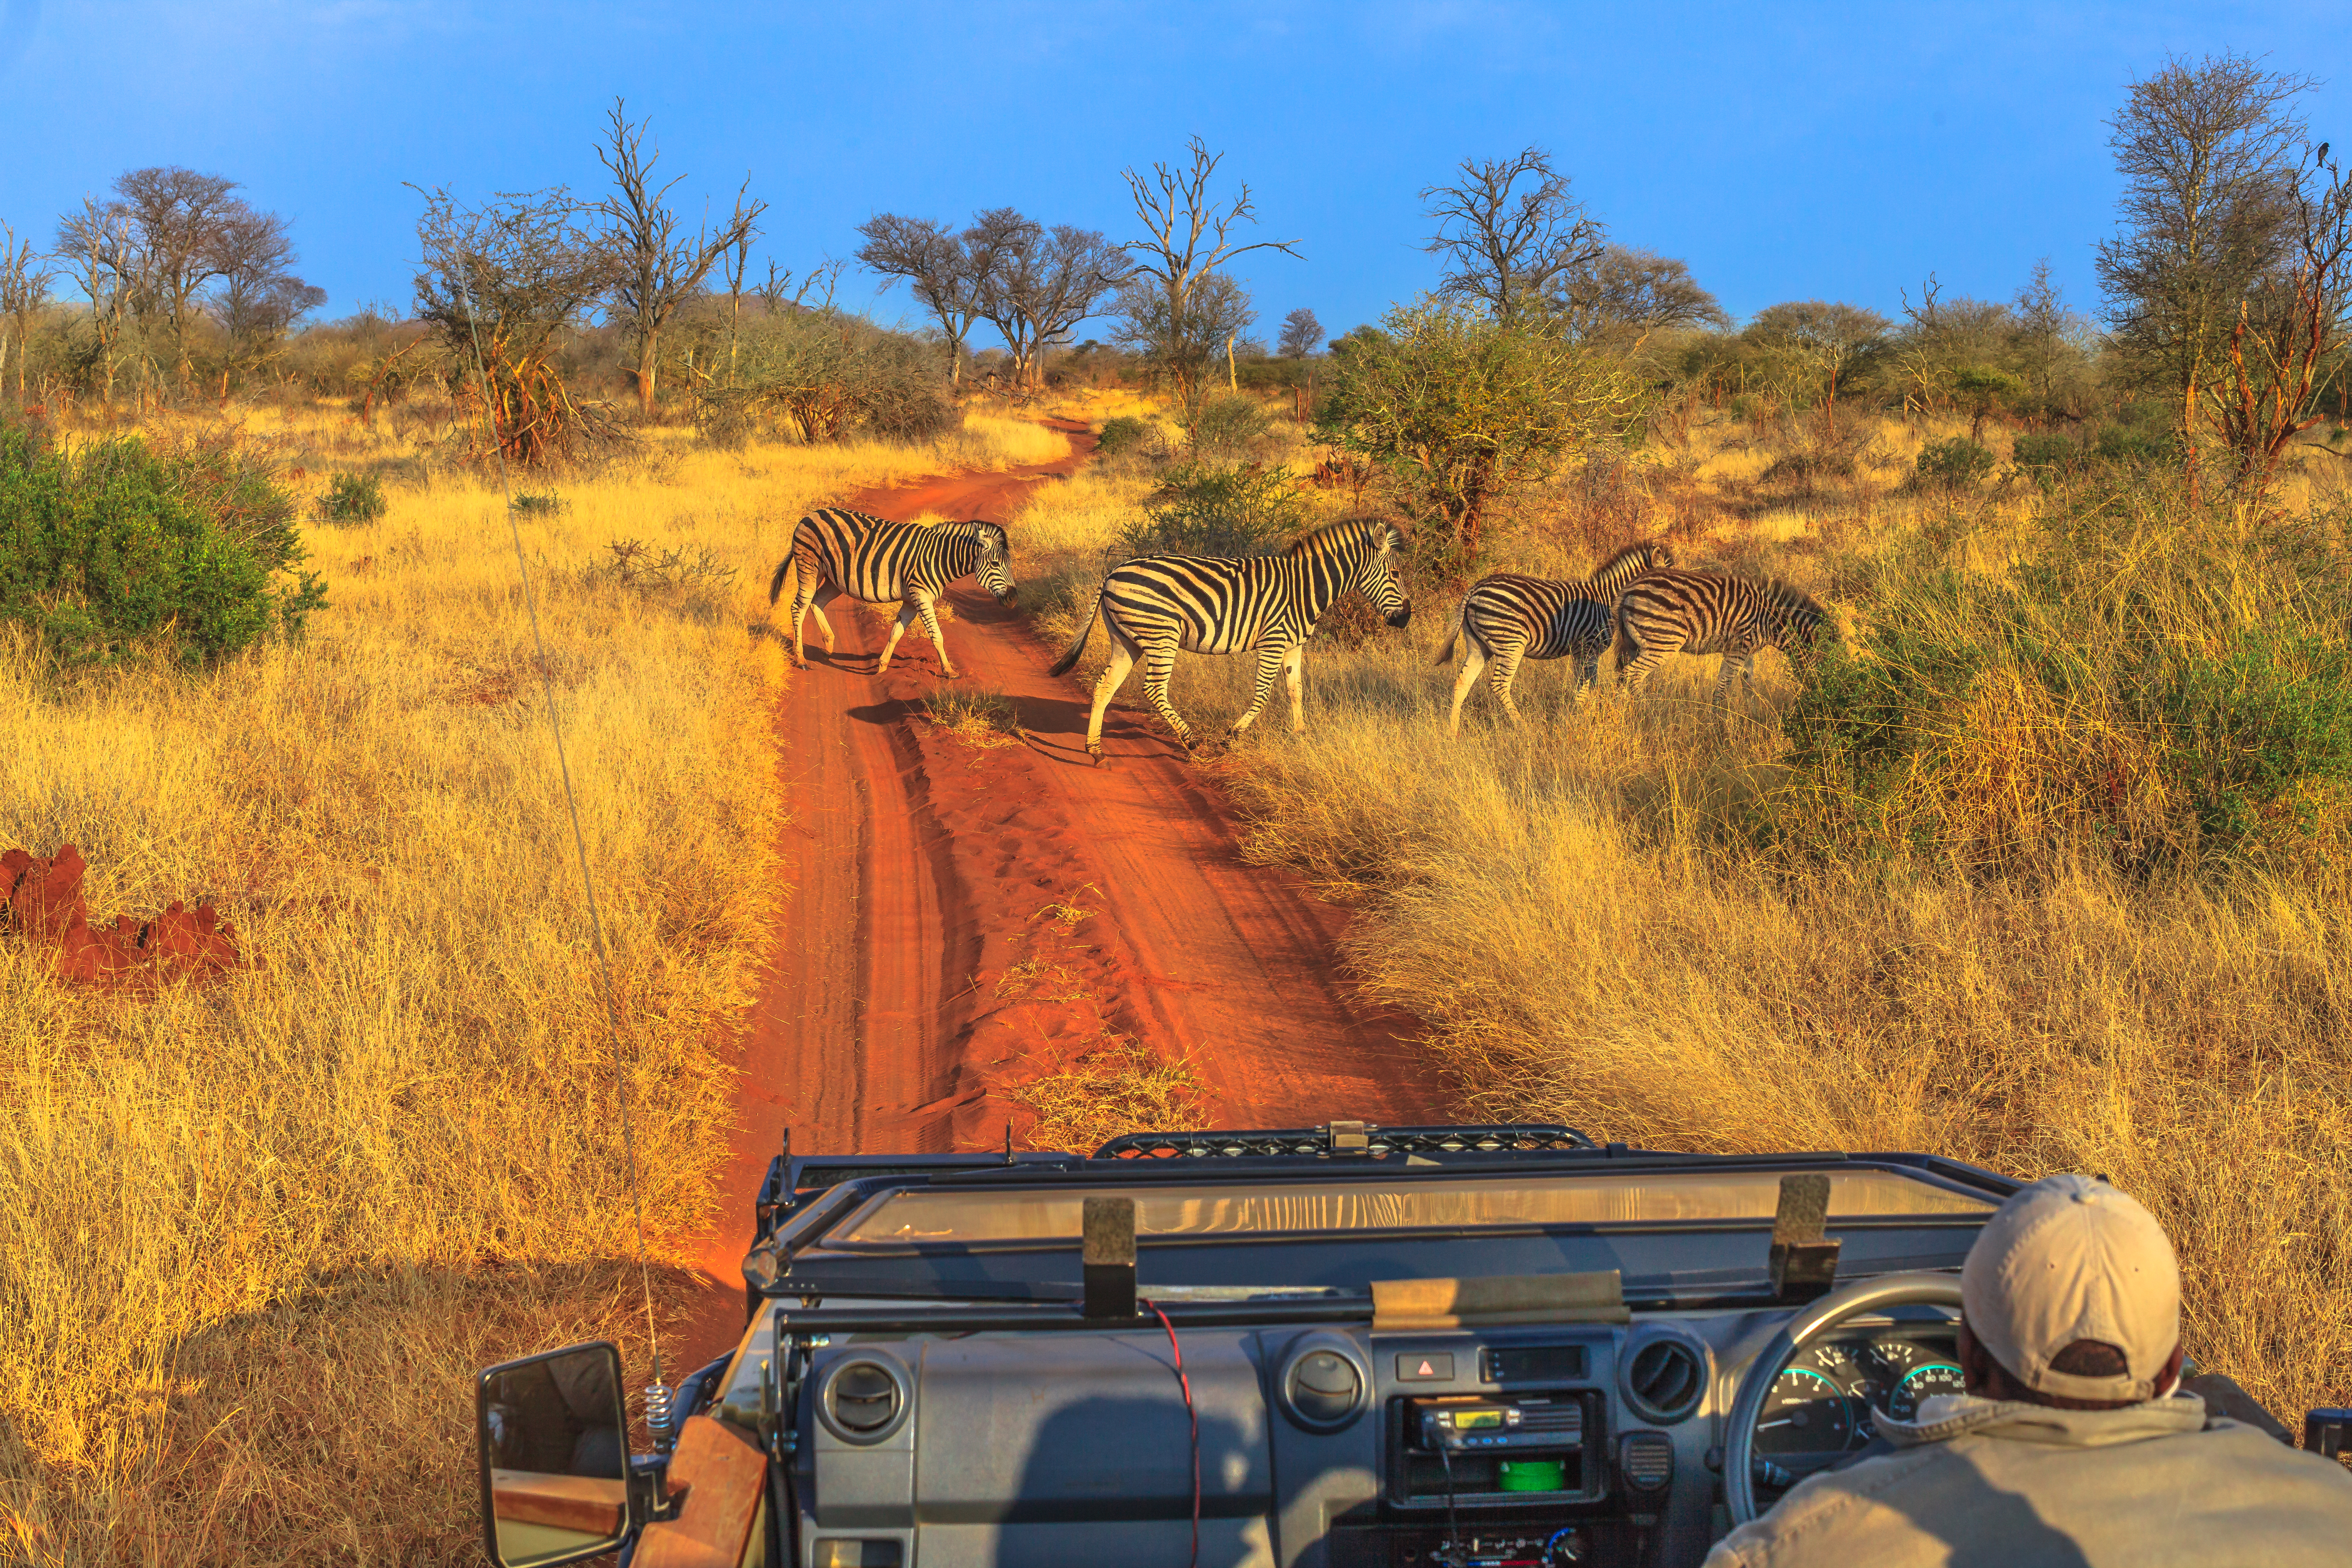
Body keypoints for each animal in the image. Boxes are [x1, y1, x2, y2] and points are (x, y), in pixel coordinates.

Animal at [764, 507, 1016, 678]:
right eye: (995, 564)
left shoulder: (911, 600)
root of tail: (811, 514)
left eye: (1009, 564)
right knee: (799, 607)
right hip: (809, 567)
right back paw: (800, 659)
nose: (1014, 599)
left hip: (833, 580)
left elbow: (896, 632)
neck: (938, 558)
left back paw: (828, 645)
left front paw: (882, 666)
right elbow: (937, 635)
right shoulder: (921, 595)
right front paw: (949, 671)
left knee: (816, 602)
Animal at [1047, 516, 1411, 763]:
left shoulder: (1294, 645)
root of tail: (1113, 572)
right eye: (1395, 575)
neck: (1305, 587)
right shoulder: (1273, 640)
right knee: (1153, 688)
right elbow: (1263, 694)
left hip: (1127, 640)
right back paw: (1192, 742)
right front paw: (1232, 737)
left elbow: (1296, 690)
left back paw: (1095, 751)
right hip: (1162, 635)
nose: (1407, 618)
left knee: (1105, 687)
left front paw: (1300, 735)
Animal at [1434, 540, 1675, 737]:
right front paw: (1584, 721)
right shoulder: (1589, 647)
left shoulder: (1580, 652)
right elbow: (1587, 687)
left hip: (1478, 645)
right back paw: (1524, 728)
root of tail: (1475, 588)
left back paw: (1453, 732)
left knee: (1462, 681)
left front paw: (1581, 717)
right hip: (1511, 643)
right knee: (1499, 685)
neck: (1608, 600)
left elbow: (1582, 687)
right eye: (1671, 586)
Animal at [1610, 570, 1827, 709]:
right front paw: (1719, 723)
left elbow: (1749, 685)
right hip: (1665, 641)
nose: (1819, 703)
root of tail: (1630, 589)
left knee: (1624, 676)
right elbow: (1724, 685)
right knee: (1633, 675)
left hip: (1634, 643)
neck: (1771, 620)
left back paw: (1623, 713)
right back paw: (1646, 711)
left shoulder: (1747, 651)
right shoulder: (1739, 647)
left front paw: (1752, 717)